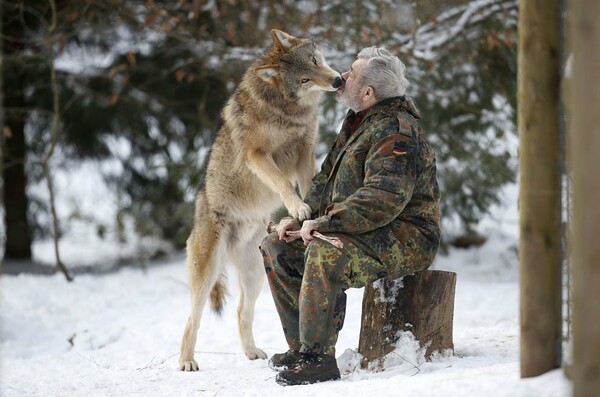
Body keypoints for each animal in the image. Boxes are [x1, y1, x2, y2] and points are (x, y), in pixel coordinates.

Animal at [179, 29, 342, 370]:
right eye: (305, 79)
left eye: (315, 61)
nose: (337, 81)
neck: (287, 110)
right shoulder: (257, 155)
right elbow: (282, 183)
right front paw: (297, 207)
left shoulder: (305, 150)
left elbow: (308, 183)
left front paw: (310, 211)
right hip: (207, 273)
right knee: (192, 319)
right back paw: (187, 362)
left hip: (255, 275)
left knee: (242, 311)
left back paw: (252, 352)